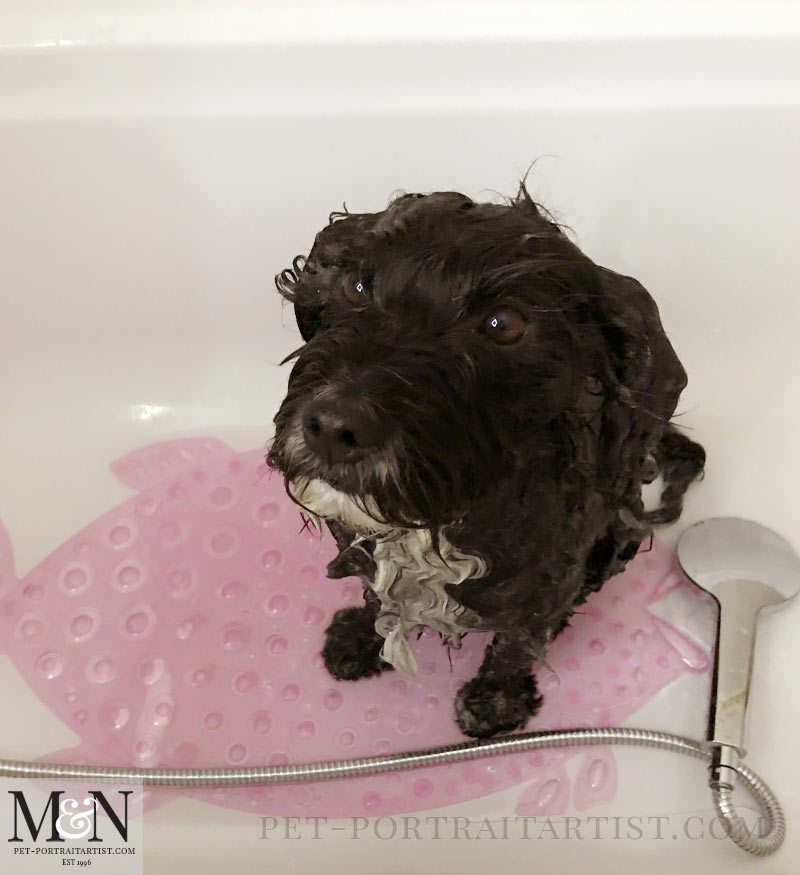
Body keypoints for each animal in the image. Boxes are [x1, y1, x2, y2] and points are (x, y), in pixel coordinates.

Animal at [266, 186, 704, 740]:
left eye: (504, 324)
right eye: (355, 283)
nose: (332, 427)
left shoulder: (547, 581)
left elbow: (516, 642)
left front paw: (494, 703)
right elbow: (373, 593)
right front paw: (360, 639)